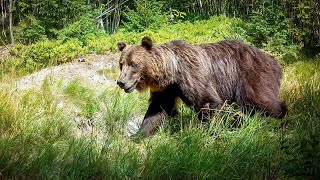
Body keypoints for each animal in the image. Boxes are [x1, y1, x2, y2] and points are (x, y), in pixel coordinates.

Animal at [116, 37, 288, 138]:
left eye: (133, 64)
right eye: (121, 64)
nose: (121, 82)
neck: (172, 71)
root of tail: (274, 61)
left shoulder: (192, 75)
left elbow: (207, 101)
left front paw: (208, 133)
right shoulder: (167, 89)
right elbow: (158, 109)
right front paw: (138, 134)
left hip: (250, 75)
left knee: (260, 100)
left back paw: (281, 117)